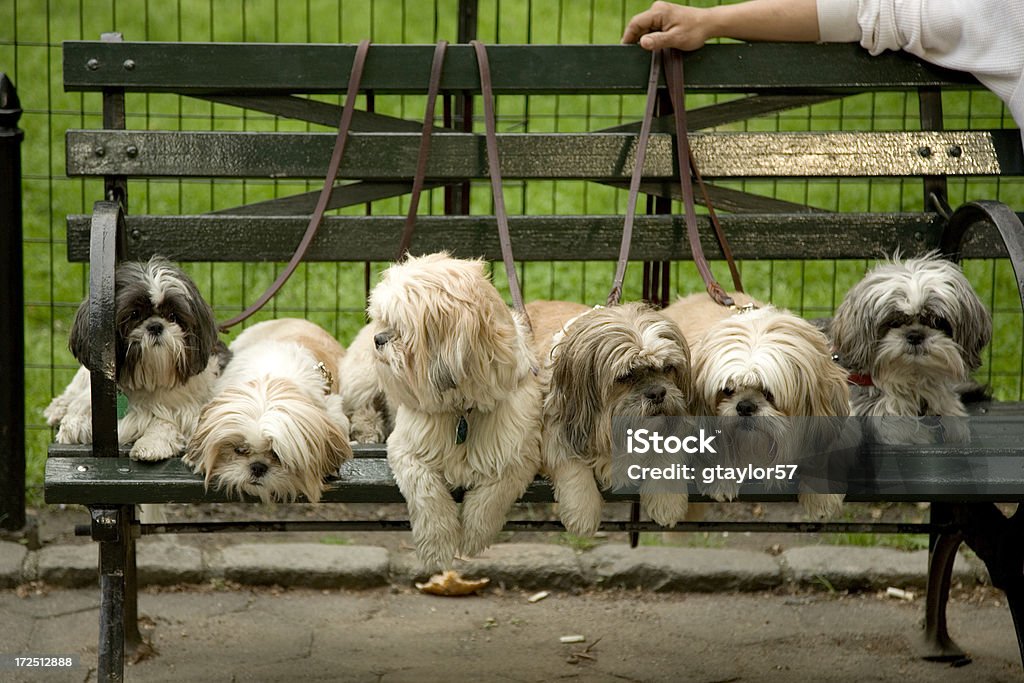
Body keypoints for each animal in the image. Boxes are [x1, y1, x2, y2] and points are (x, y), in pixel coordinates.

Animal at [368, 253, 544, 569]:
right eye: (383, 319)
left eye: (401, 329)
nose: (378, 338)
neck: (462, 409)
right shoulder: (406, 448)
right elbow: (425, 491)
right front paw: (437, 545)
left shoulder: (519, 454)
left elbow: (493, 496)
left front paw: (475, 535)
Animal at [528, 301, 696, 536]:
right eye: (626, 376)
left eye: (667, 368)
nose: (657, 392)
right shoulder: (556, 426)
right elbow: (569, 463)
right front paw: (583, 511)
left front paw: (667, 501)